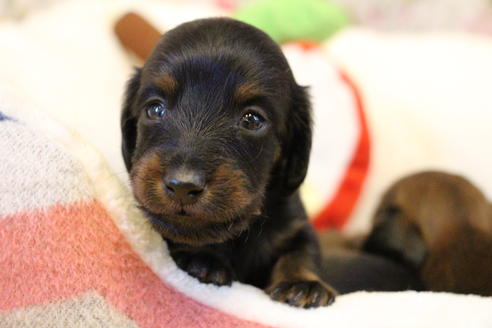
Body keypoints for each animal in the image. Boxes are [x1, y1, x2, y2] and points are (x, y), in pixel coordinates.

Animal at [121, 18, 336, 308]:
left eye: (252, 119)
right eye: (155, 109)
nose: (182, 185)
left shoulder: (294, 223)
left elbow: (301, 249)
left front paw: (302, 283)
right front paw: (203, 259)